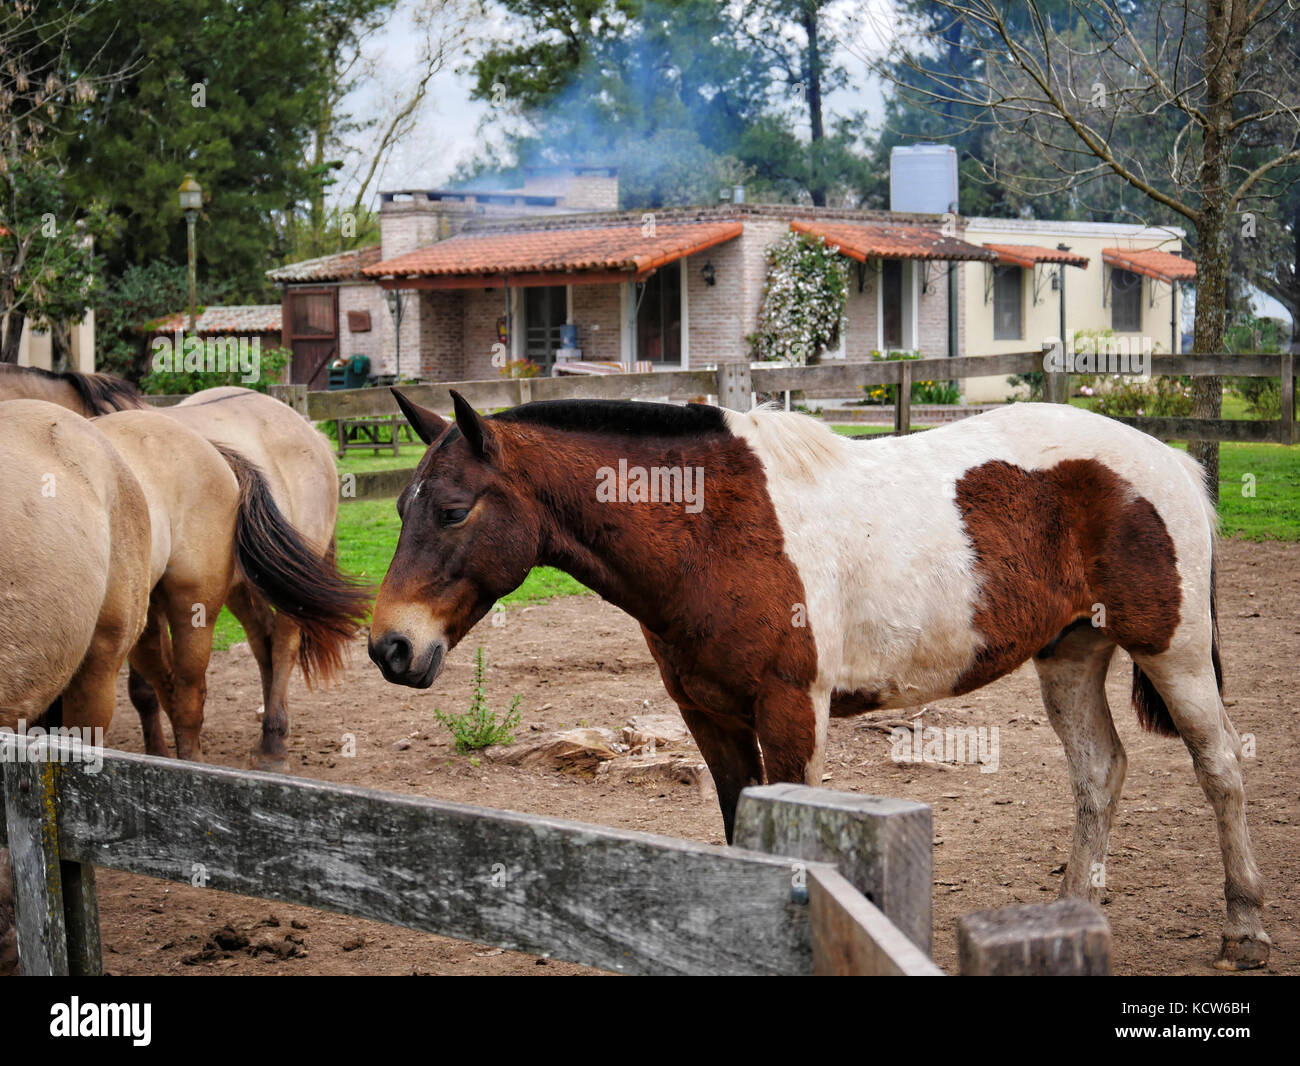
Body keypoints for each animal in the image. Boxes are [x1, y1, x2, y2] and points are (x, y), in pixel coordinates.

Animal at [371, 390, 1274, 967]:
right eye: (403, 509)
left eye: (453, 510)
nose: (391, 648)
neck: (713, 529)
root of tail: (1169, 462)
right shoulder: (710, 718)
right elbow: (741, 836)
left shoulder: (790, 712)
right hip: (1071, 653)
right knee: (1099, 773)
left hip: (1174, 650)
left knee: (1221, 768)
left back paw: (1247, 929)